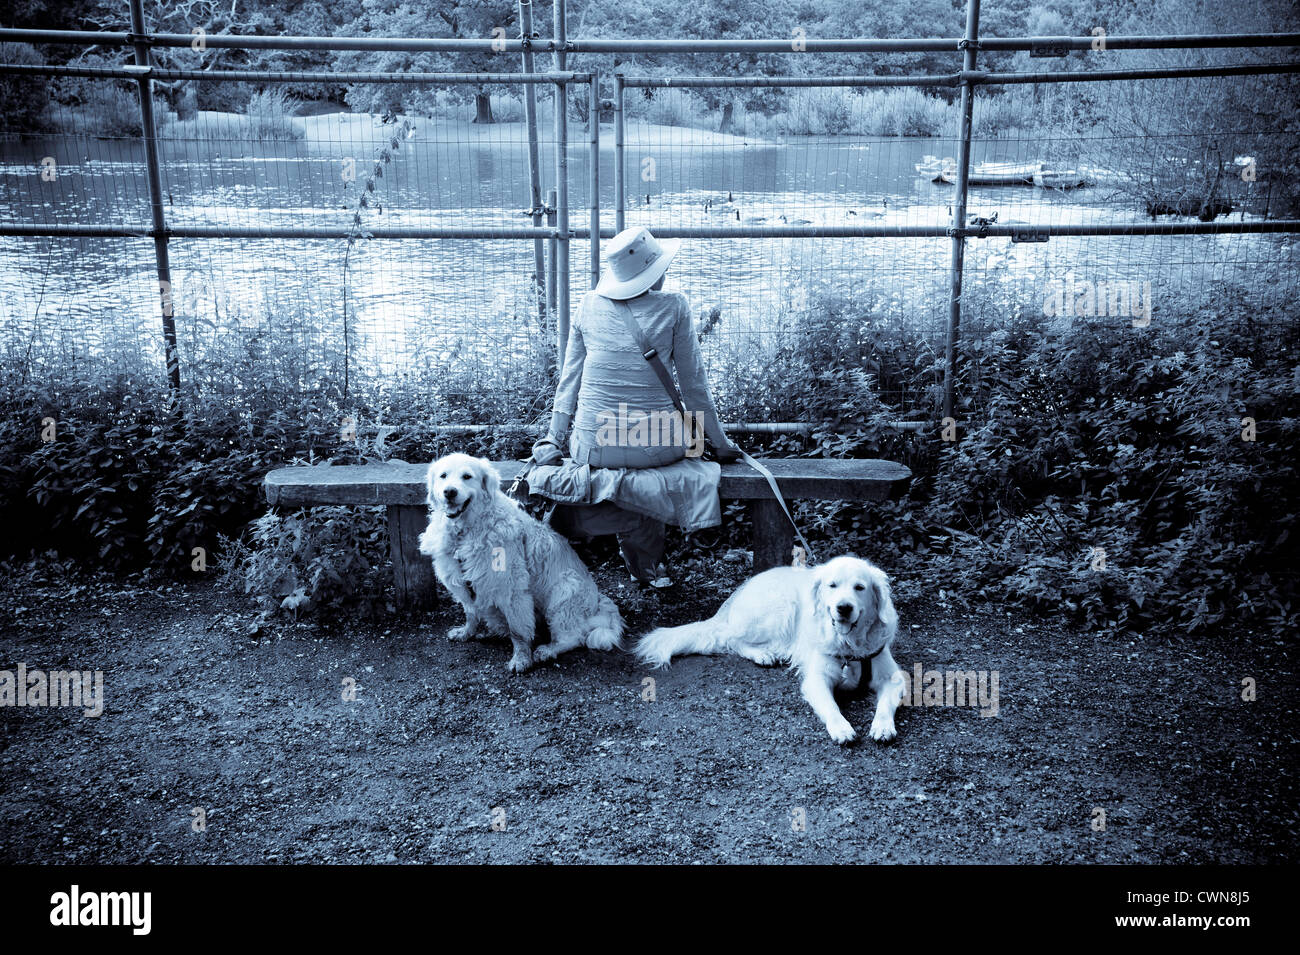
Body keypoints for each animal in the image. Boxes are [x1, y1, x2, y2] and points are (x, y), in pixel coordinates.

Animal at [413, 454, 621, 670]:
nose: (449, 492)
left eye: (467, 476)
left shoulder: (511, 588)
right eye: (443, 476)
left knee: (573, 637)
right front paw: (466, 632)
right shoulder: (463, 582)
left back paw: (547, 650)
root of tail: (598, 602)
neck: (466, 530)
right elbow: (470, 612)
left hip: (564, 592)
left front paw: (521, 658)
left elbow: (518, 630)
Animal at [631, 553, 899, 748]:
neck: (850, 646)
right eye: (832, 585)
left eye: (859, 587)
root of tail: (741, 590)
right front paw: (842, 728)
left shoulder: (894, 678)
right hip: (779, 609)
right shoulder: (816, 680)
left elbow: (886, 704)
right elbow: (831, 707)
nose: (843, 608)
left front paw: (883, 726)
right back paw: (762, 655)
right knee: (731, 638)